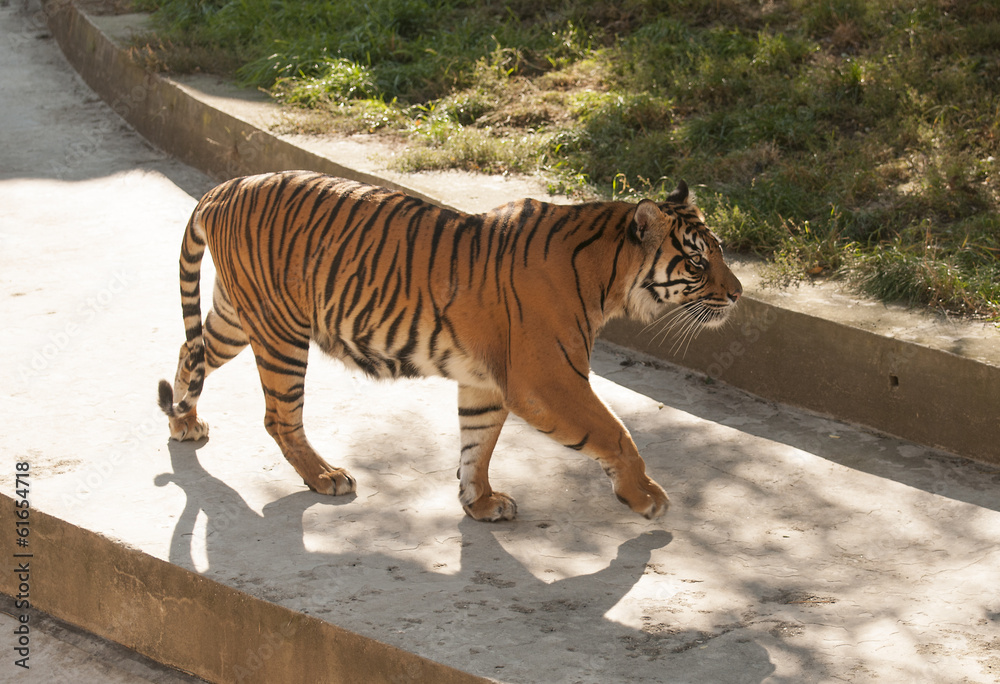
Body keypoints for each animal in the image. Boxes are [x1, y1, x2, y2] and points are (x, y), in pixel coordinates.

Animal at [158, 170, 742, 522]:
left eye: (720, 251)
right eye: (697, 261)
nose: (737, 294)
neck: (608, 277)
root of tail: (226, 186)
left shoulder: (487, 382)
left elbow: (476, 443)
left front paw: (479, 501)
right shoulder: (547, 378)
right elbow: (616, 434)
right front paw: (647, 498)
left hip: (237, 318)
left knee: (192, 353)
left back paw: (185, 422)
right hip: (279, 332)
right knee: (279, 416)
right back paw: (326, 477)